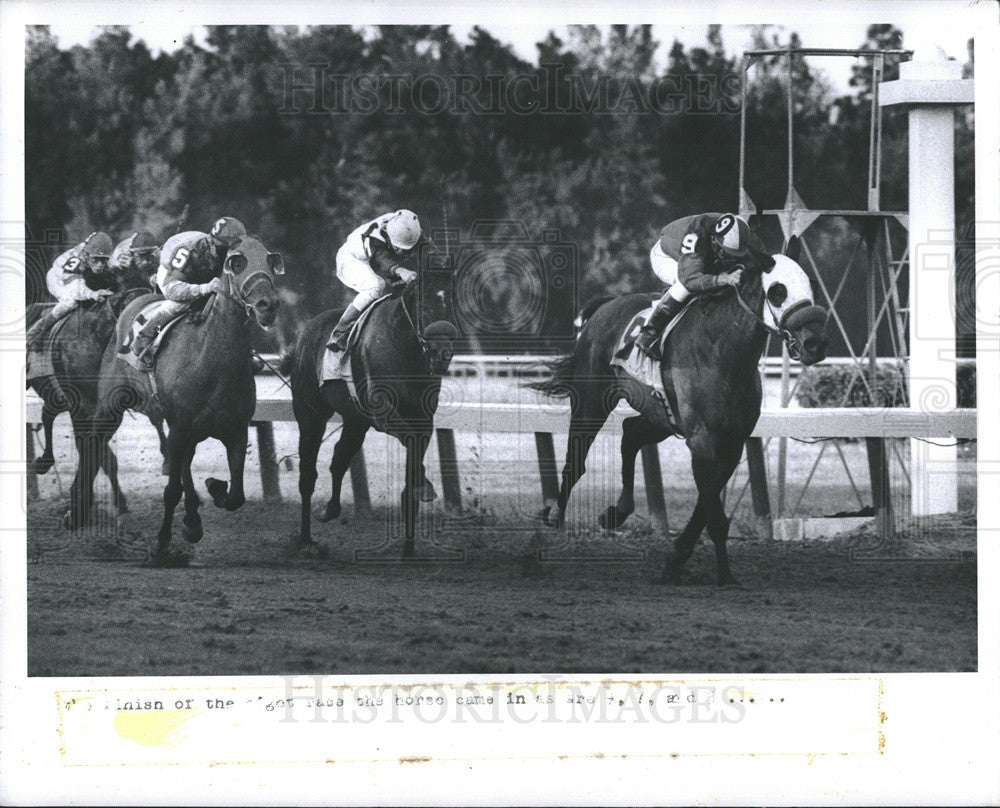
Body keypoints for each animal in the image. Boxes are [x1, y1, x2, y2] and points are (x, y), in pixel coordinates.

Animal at [25, 258, 168, 524]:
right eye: (131, 305)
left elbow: (102, 453)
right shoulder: (83, 404)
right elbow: (94, 449)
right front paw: (78, 506)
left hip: (55, 394)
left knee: (48, 414)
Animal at [94, 234, 284, 560]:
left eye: (271, 261)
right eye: (236, 262)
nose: (267, 304)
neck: (212, 360)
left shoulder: (235, 430)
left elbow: (236, 496)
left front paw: (214, 489)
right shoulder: (181, 429)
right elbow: (171, 491)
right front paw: (161, 543)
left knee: (184, 466)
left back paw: (193, 518)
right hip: (113, 406)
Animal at [290, 278, 458, 556]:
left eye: (451, 301)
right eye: (424, 303)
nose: (442, 354)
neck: (406, 347)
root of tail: (306, 330)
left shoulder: (423, 418)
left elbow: (413, 465)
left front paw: (409, 550)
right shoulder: (383, 413)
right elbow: (410, 440)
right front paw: (424, 487)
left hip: (356, 421)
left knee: (339, 460)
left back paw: (329, 510)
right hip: (310, 414)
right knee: (307, 475)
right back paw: (305, 541)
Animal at [528, 237, 824, 584]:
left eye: (812, 285)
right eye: (777, 291)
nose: (816, 344)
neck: (722, 351)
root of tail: (603, 308)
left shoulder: (732, 442)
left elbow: (706, 508)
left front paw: (676, 560)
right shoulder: (702, 439)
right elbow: (713, 513)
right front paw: (724, 574)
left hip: (661, 415)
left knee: (630, 433)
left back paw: (617, 512)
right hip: (591, 402)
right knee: (575, 462)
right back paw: (550, 525)